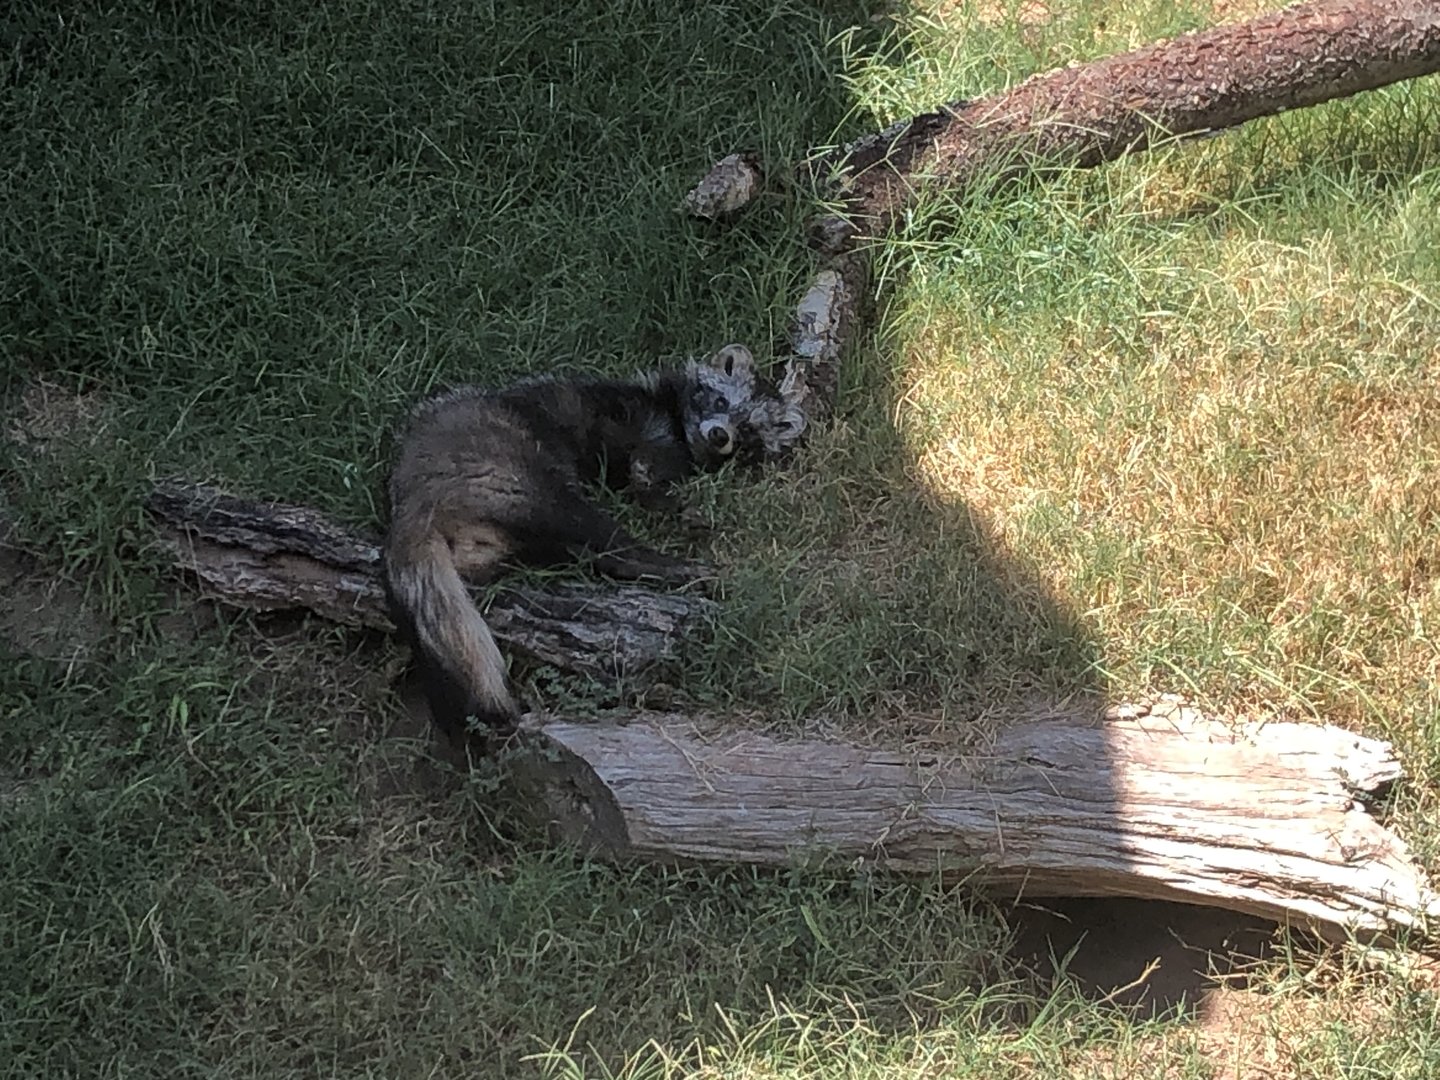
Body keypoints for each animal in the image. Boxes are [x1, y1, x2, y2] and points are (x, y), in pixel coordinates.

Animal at [382, 344, 801, 750]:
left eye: (748, 430)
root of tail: (414, 494)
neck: (678, 429)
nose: (720, 436)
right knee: (606, 543)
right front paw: (671, 500)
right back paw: (680, 568)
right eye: (720, 400)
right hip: (520, 476)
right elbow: (637, 464)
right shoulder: (623, 414)